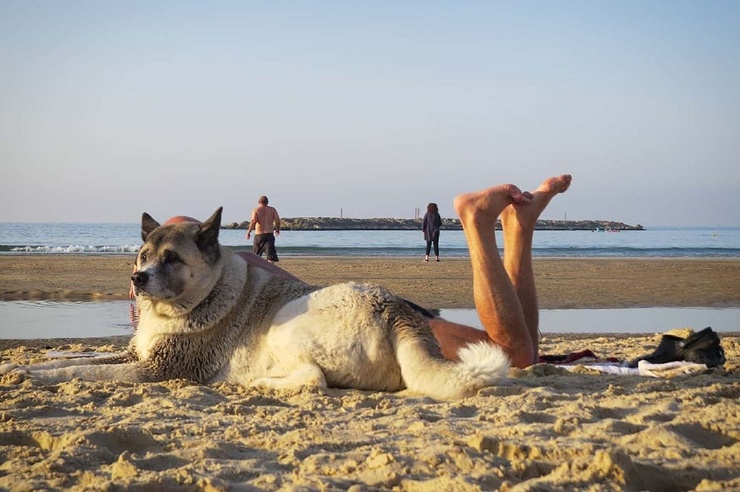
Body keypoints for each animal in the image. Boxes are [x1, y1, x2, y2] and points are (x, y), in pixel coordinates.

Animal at [0, 208, 508, 400]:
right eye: (143, 255)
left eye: (171, 259)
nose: (136, 278)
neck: (196, 300)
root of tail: (396, 308)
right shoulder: (135, 353)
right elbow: (79, 357)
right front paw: (29, 361)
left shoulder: (156, 369)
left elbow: (85, 372)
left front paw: (34, 375)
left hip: (287, 321)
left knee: (312, 381)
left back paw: (254, 382)